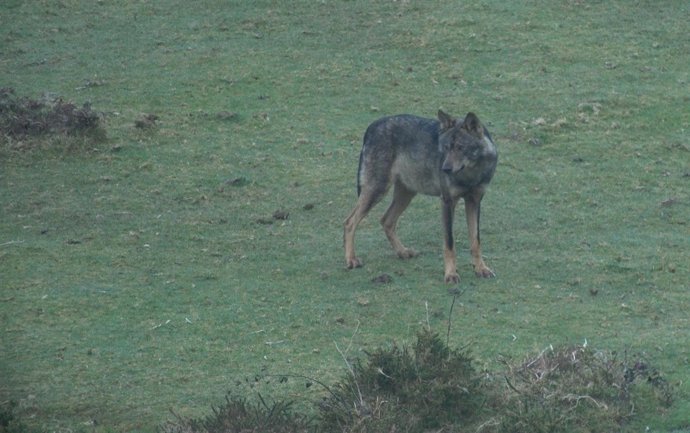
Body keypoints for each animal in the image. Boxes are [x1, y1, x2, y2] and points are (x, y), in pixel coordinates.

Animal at [343, 110, 498, 283]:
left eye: (460, 147)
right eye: (445, 148)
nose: (445, 169)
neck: (470, 174)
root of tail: (372, 126)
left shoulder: (474, 201)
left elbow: (476, 241)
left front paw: (481, 269)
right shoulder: (447, 202)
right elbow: (449, 244)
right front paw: (451, 274)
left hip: (406, 194)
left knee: (386, 221)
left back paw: (402, 252)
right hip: (377, 191)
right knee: (349, 222)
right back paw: (351, 260)